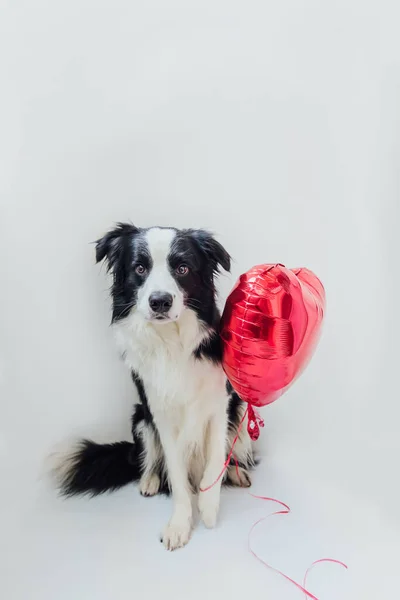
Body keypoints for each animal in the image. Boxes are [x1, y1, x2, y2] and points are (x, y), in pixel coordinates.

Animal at [55, 223, 256, 552]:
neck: (171, 341)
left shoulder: (220, 404)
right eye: (140, 268)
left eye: (183, 268)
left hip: (238, 411)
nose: (160, 301)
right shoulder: (160, 414)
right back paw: (149, 481)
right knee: (149, 460)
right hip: (140, 418)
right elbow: (176, 474)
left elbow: (215, 459)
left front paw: (209, 506)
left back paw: (237, 473)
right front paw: (180, 525)